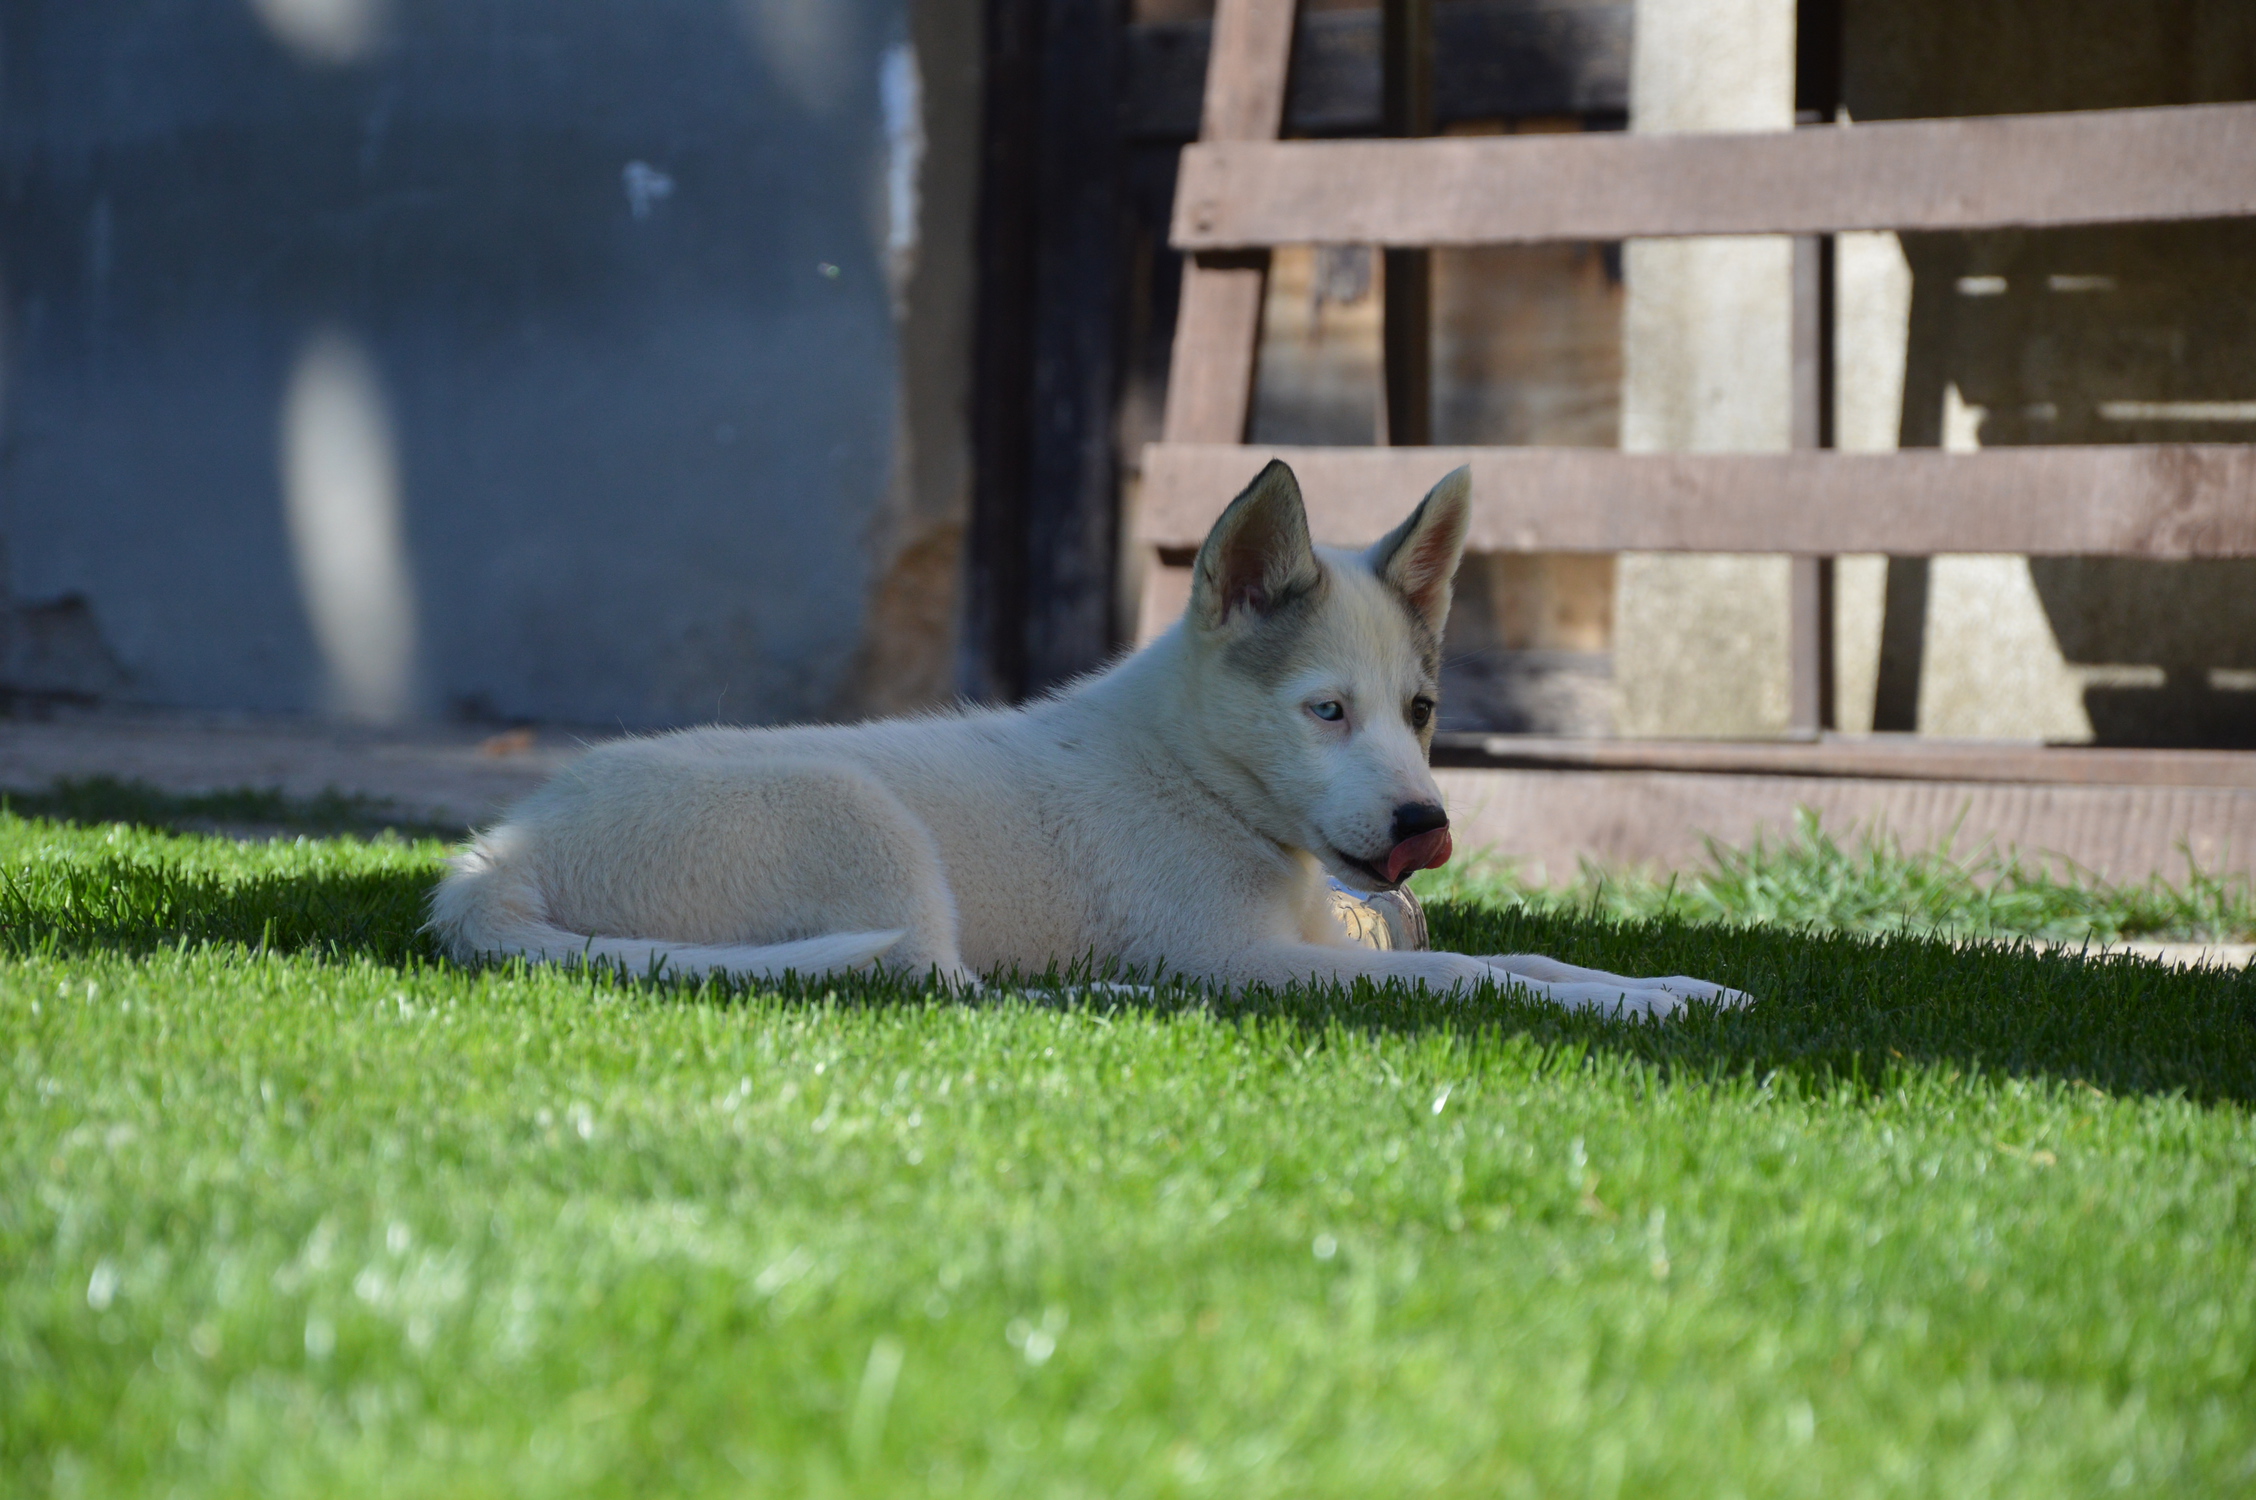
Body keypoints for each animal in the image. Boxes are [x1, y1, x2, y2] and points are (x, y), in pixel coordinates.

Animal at [429, 461, 1749, 1017]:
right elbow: (1466, 976)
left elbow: (1531, 957)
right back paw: (1105, 991)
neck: (1201, 783)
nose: (1426, 827)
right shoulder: (1245, 956)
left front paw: (1676, 987)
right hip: (863, 825)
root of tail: (496, 863)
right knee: (935, 983)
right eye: (1325, 711)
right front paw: (1641, 1009)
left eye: (1420, 714)